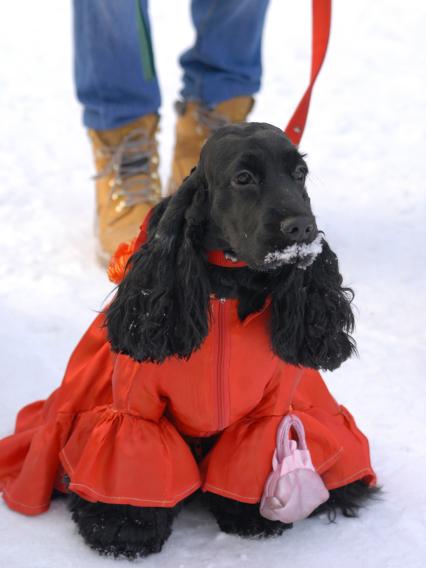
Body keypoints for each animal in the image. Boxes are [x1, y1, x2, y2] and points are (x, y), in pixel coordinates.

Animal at [68, 123, 378, 560]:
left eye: (299, 173)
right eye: (244, 178)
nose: (302, 229)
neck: (228, 288)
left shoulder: (268, 411)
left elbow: (249, 458)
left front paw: (251, 517)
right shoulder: (135, 406)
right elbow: (131, 456)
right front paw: (124, 528)